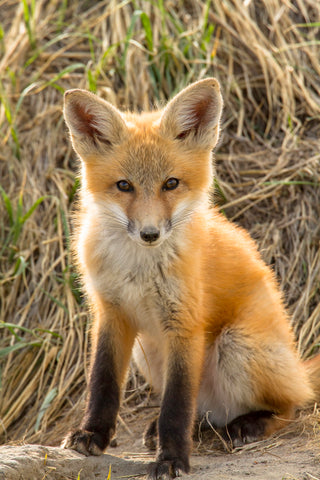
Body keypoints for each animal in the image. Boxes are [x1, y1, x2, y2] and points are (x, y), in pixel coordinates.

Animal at [62, 79, 320, 480]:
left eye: (171, 183)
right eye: (124, 185)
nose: (150, 233)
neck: (139, 269)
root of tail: (298, 368)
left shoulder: (184, 323)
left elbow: (176, 405)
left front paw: (171, 459)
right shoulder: (111, 312)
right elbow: (103, 384)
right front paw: (93, 435)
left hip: (236, 345)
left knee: (292, 405)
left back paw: (250, 424)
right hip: (148, 352)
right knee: (201, 410)